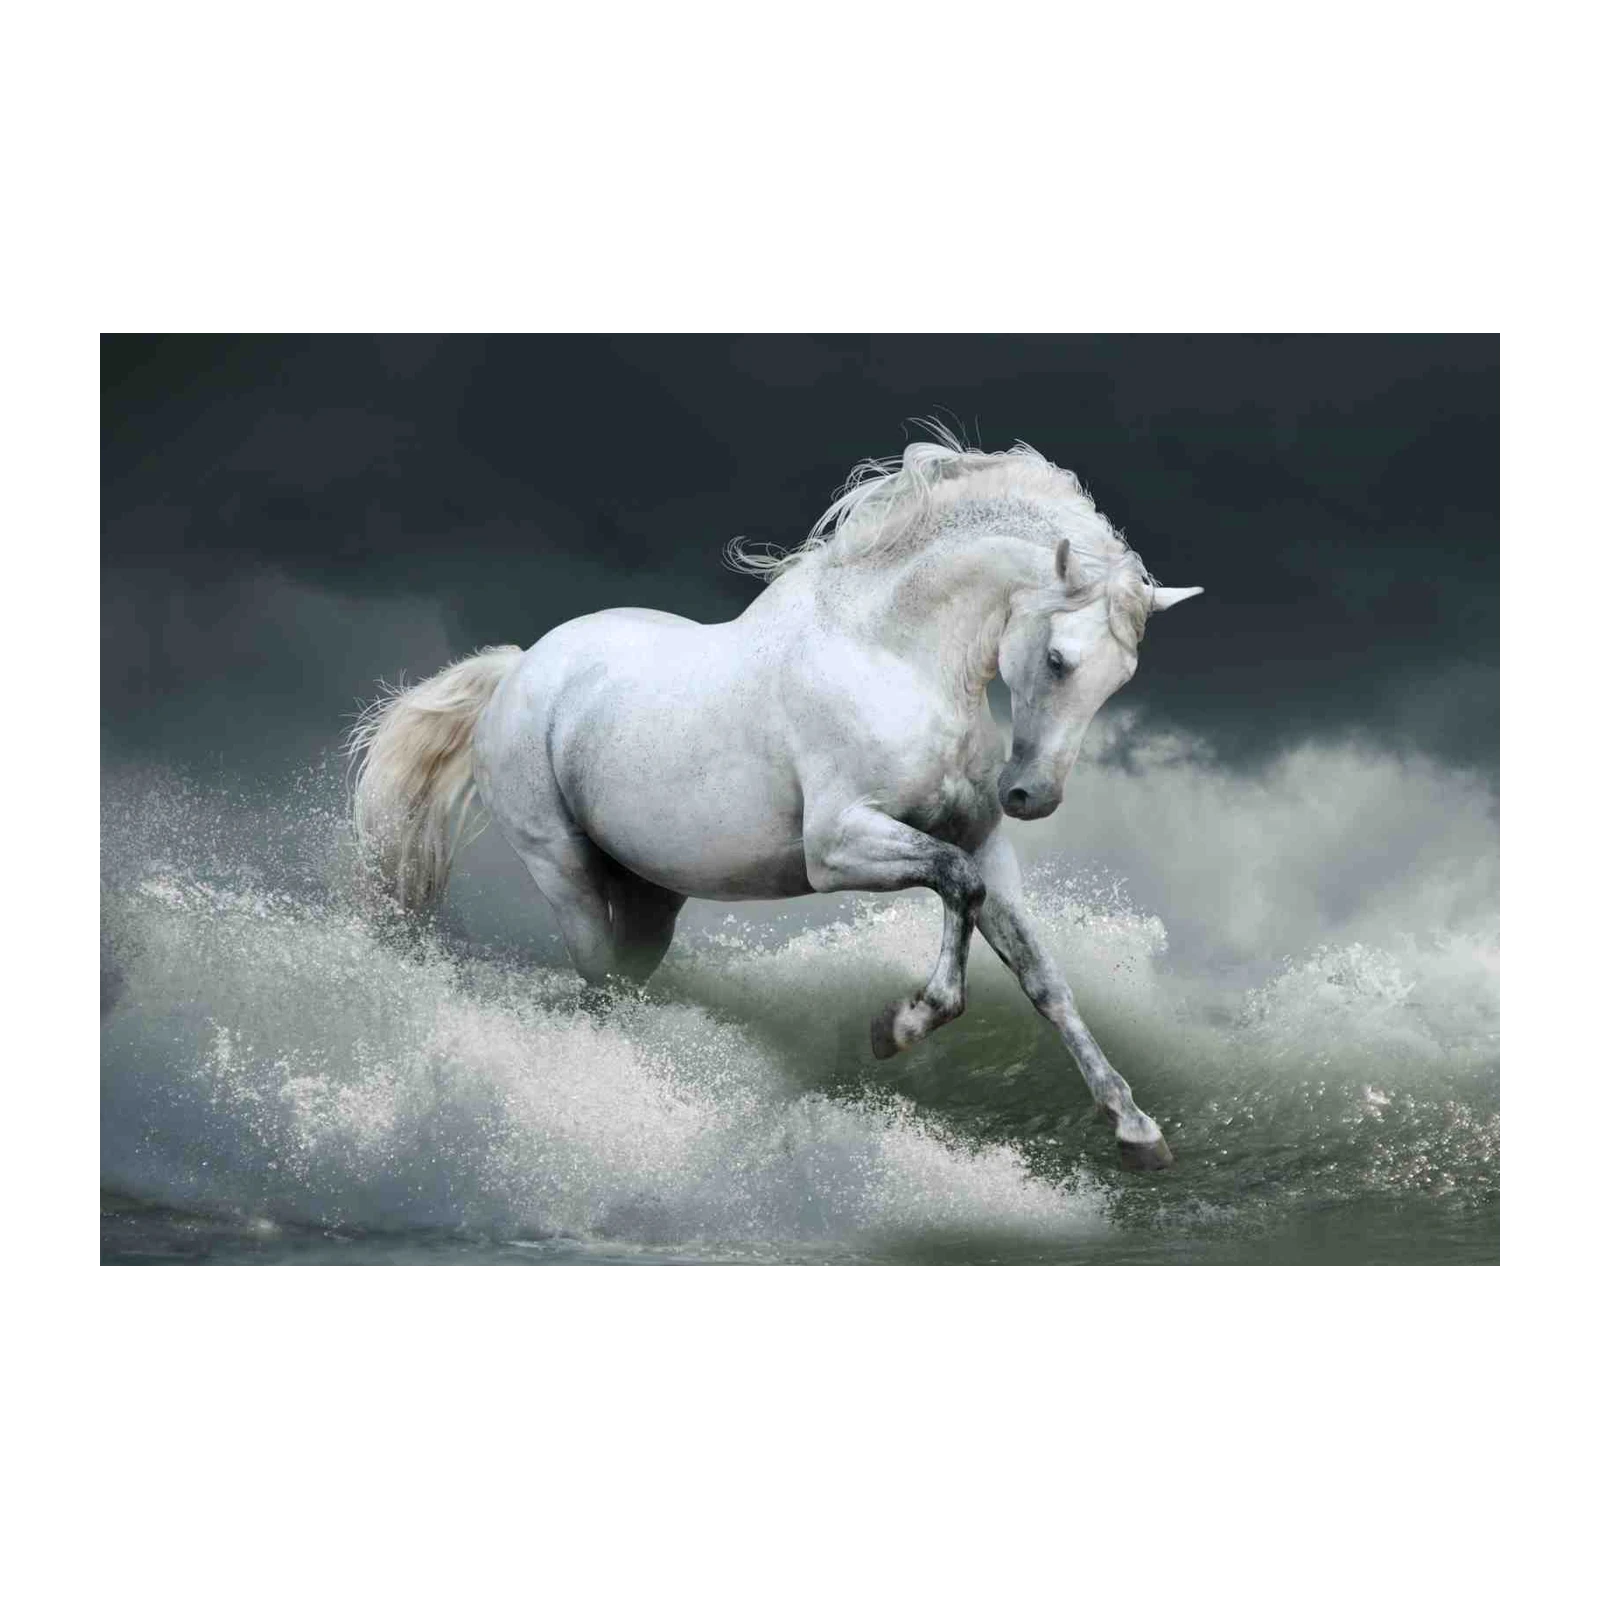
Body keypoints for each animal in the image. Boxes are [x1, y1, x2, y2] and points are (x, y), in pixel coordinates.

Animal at [348, 428, 1203, 1169]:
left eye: (1120, 677)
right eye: (1058, 658)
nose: (1031, 796)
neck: (890, 656)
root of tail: (518, 668)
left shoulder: (987, 845)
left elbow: (1040, 974)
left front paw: (1136, 1130)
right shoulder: (837, 848)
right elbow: (956, 884)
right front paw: (898, 1026)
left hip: (650, 898)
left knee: (625, 978)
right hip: (564, 871)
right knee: (597, 978)